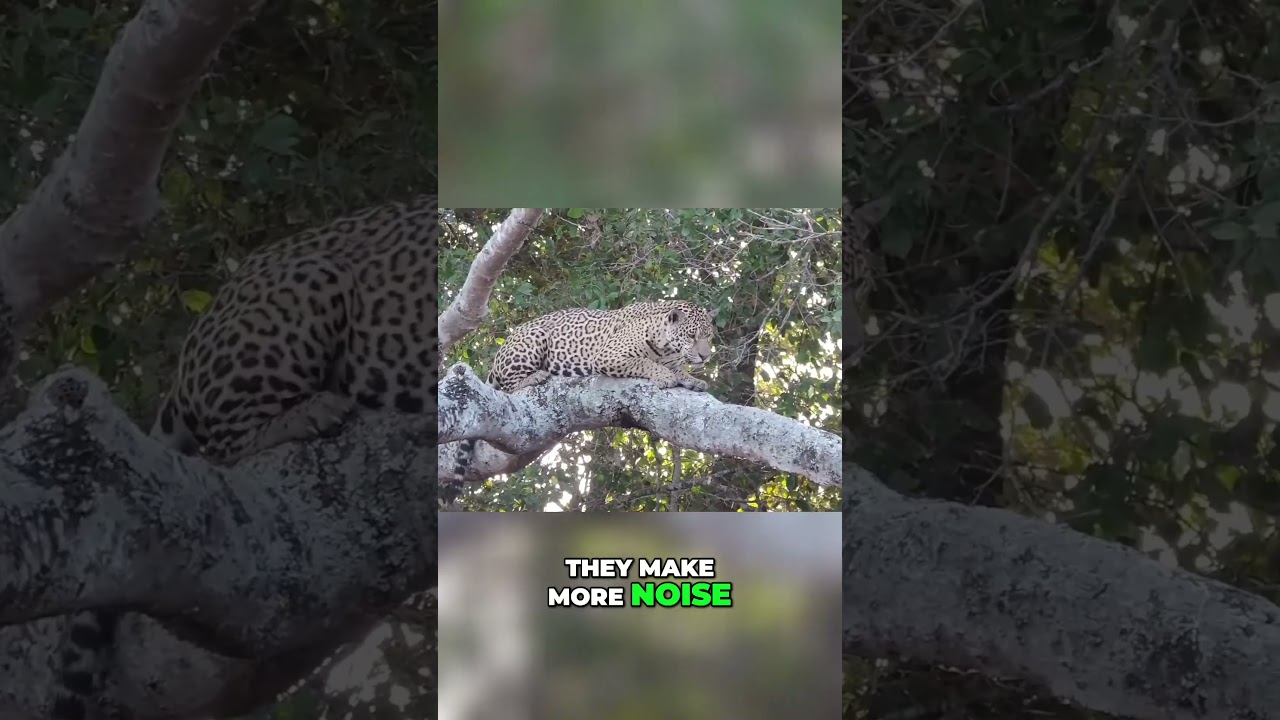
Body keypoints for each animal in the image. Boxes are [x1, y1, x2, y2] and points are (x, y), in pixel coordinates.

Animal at [444, 299, 715, 497]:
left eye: (709, 336)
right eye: (692, 336)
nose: (705, 356)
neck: (666, 345)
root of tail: (501, 351)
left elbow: (679, 370)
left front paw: (693, 379)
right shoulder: (610, 355)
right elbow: (644, 362)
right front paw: (665, 375)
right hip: (533, 338)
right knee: (510, 384)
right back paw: (534, 377)